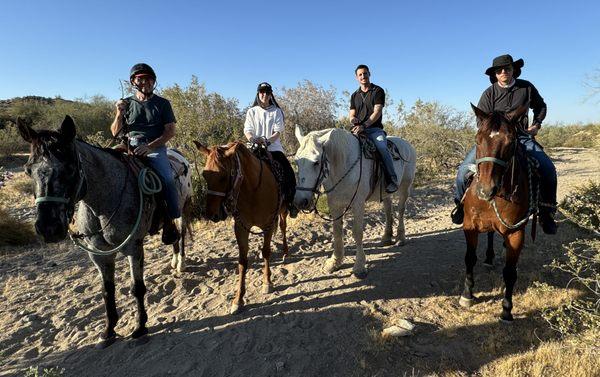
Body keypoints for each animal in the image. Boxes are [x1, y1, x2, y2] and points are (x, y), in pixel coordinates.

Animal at [17, 115, 192, 346]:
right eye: (28, 170)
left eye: (70, 168)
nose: (49, 228)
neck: (103, 202)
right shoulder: (98, 254)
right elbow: (107, 291)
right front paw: (109, 330)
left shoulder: (133, 248)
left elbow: (137, 288)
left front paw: (140, 327)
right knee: (173, 238)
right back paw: (173, 261)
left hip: (181, 210)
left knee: (181, 237)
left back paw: (180, 263)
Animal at [192, 140, 286, 312]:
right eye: (204, 175)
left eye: (223, 176)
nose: (212, 215)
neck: (254, 190)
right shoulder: (241, 228)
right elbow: (242, 262)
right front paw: (238, 300)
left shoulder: (268, 225)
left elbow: (266, 252)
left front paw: (267, 282)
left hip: (283, 211)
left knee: (283, 226)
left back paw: (286, 252)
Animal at [292, 125, 414, 276]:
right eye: (296, 162)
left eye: (316, 162)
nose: (300, 201)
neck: (343, 165)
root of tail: (407, 144)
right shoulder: (335, 205)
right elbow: (337, 232)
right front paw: (335, 262)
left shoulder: (358, 204)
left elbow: (357, 232)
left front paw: (359, 265)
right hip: (385, 193)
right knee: (388, 210)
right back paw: (386, 237)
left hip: (405, 188)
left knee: (401, 210)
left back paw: (400, 238)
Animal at [458, 104, 536, 322]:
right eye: (477, 139)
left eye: (510, 141)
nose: (486, 190)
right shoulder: (470, 225)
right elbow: (469, 258)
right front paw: (467, 294)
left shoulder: (516, 233)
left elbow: (510, 272)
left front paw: (507, 310)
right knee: (491, 234)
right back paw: (489, 257)